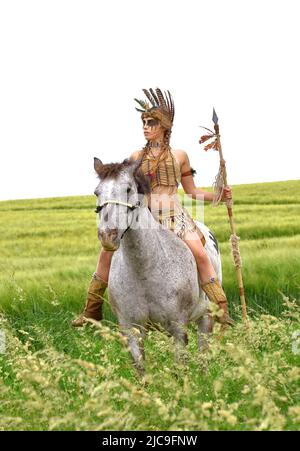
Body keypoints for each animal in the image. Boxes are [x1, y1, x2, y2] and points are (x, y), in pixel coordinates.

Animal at [94, 157, 223, 376]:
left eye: (128, 189)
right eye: (97, 192)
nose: (107, 236)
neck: (144, 269)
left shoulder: (178, 328)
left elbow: (180, 368)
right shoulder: (131, 329)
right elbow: (141, 370)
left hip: (206, 316)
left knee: (203, 353)